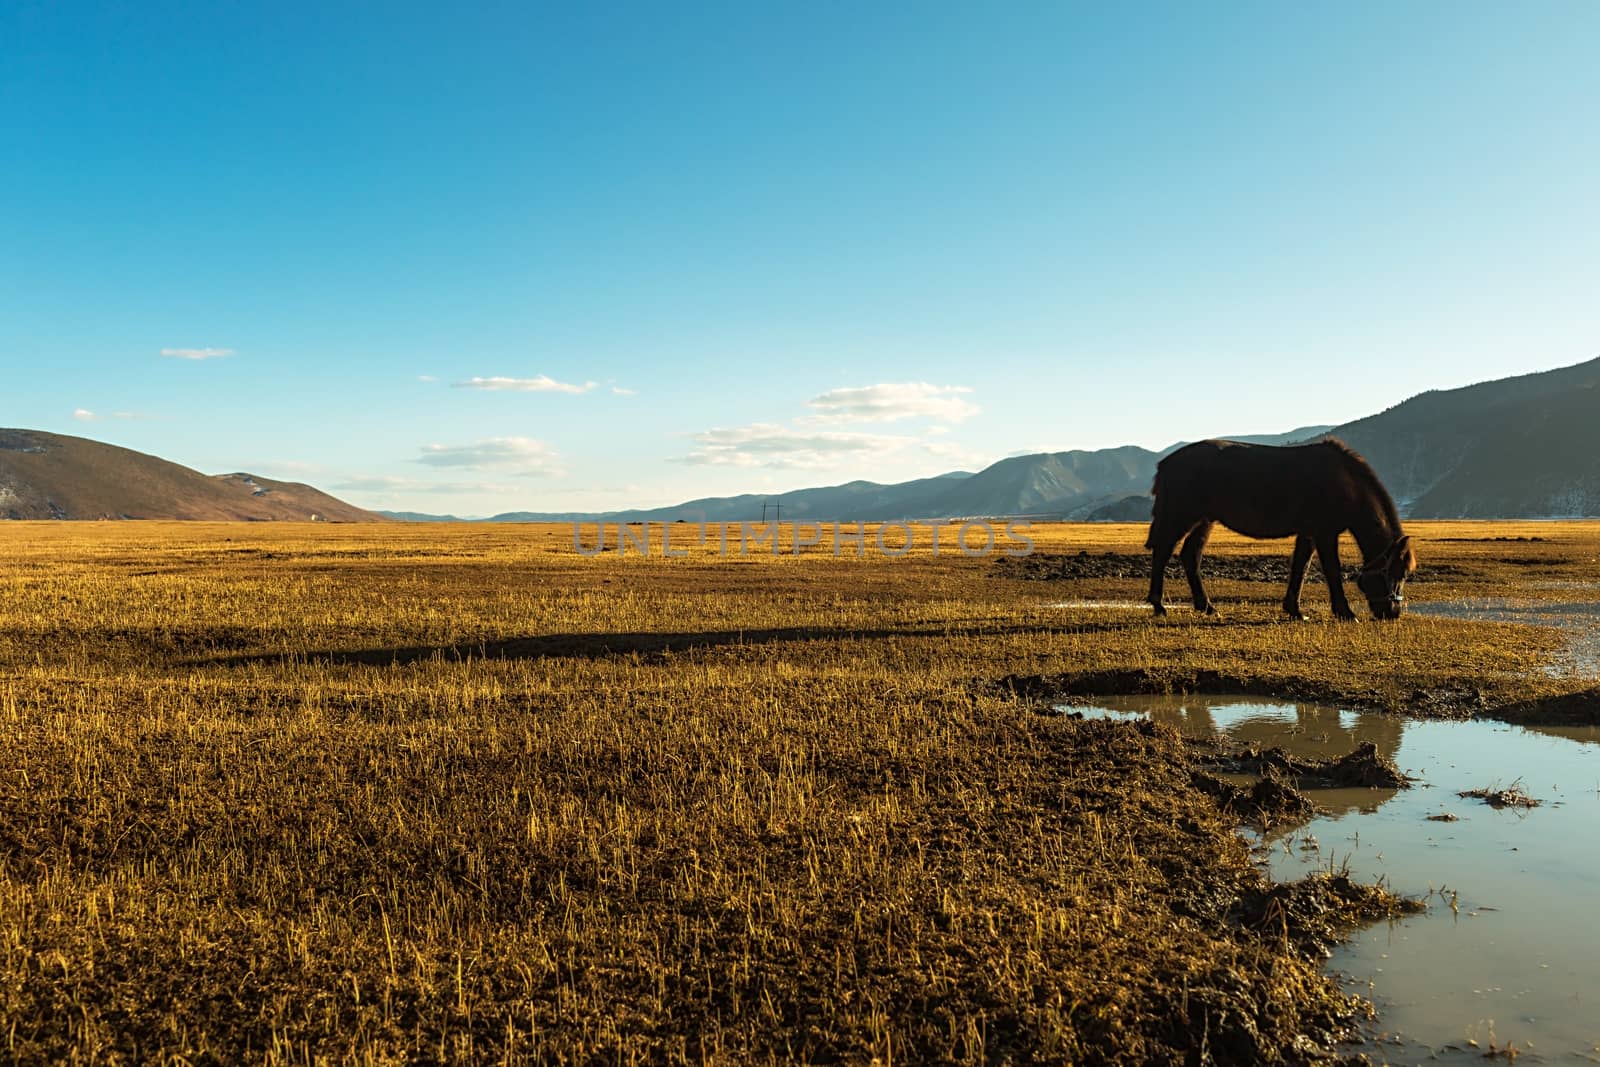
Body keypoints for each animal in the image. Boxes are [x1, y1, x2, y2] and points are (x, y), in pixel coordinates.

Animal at [1145, 438, 1420, 620]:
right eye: (1399, 573)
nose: (1392, 613)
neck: (1346, 484)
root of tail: (1165, 464)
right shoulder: (1324, 533)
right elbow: (1331, 571)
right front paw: (1345, 612)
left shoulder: (1309, 534)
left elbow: (1300, 568)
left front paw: (1294, 609)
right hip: (1181, 517)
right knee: (1163, 552)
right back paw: (1159, 606)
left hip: (1205, 520)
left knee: (1190, 555)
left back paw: (1207, 606)